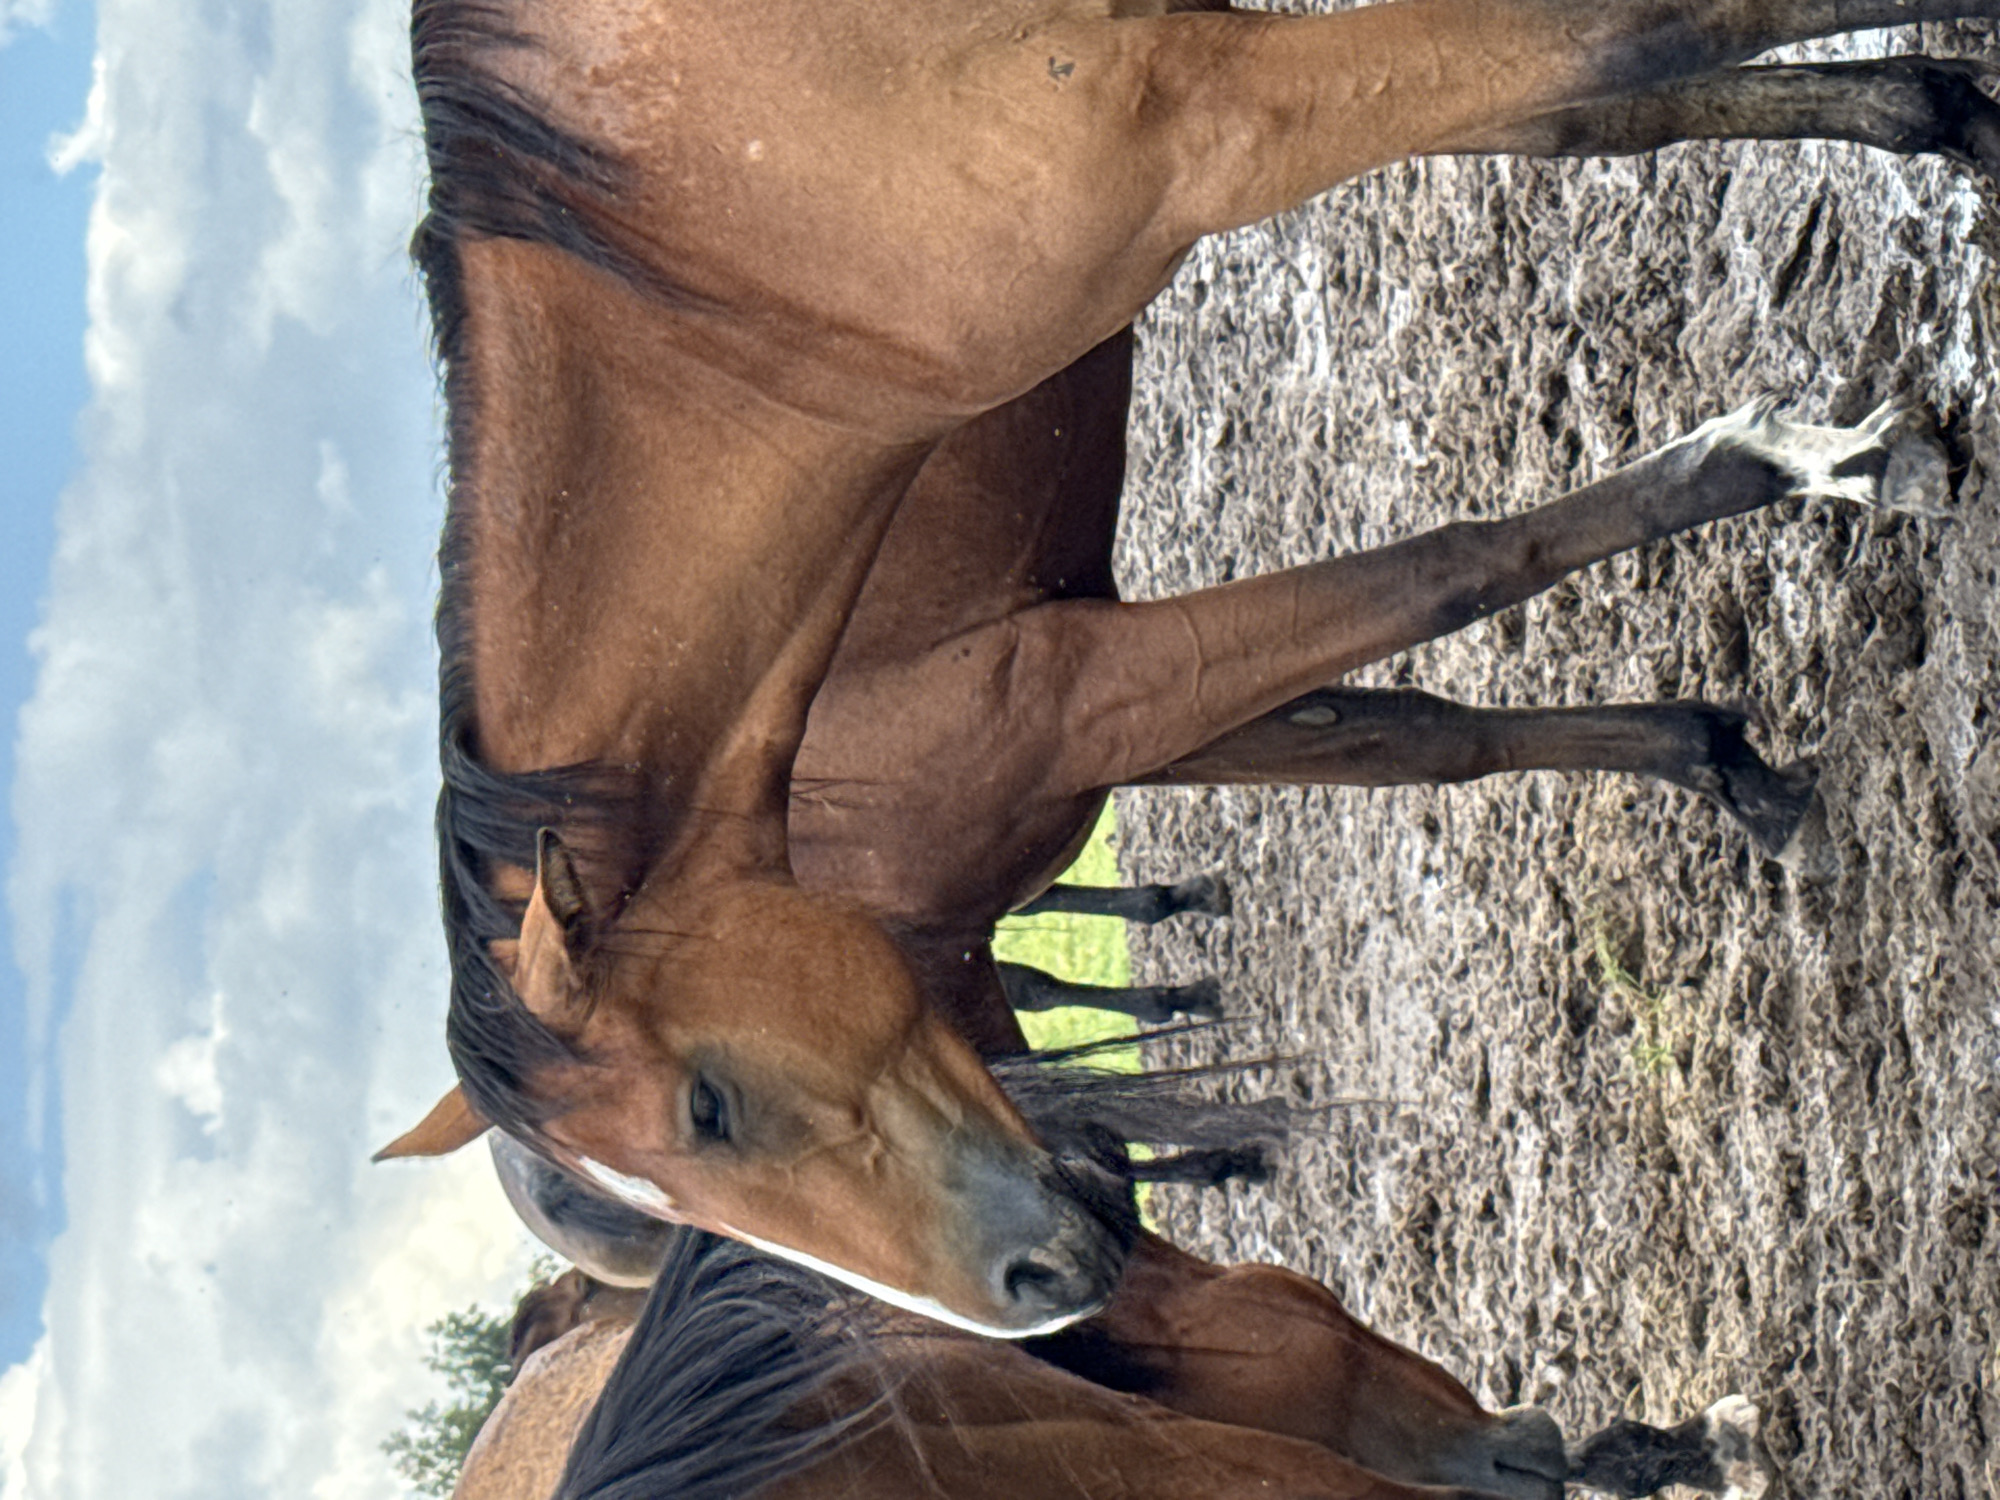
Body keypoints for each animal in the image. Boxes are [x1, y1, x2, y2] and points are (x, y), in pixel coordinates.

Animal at [399, 0, 1991, 1336]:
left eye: (707, 1110)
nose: (1030, 1293)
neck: (713, 291)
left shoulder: (1206, 119)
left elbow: (1614, 83)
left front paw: (1820, 450)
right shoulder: (1087, 692)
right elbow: (1413, 721)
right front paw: (1720, 753)